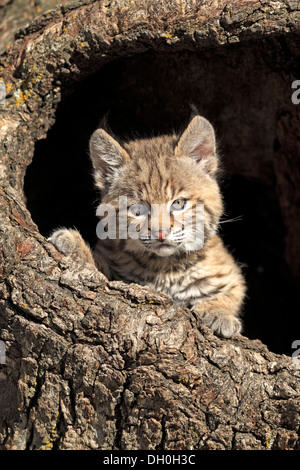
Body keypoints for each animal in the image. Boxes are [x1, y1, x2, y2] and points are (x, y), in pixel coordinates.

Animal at [49, 117, 246, 338]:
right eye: (137, 210)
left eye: (178, 204)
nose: (161, 233)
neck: (166, 267)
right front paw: (75, 244)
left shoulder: (230, 274)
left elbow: (230, 291)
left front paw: (220, 314)